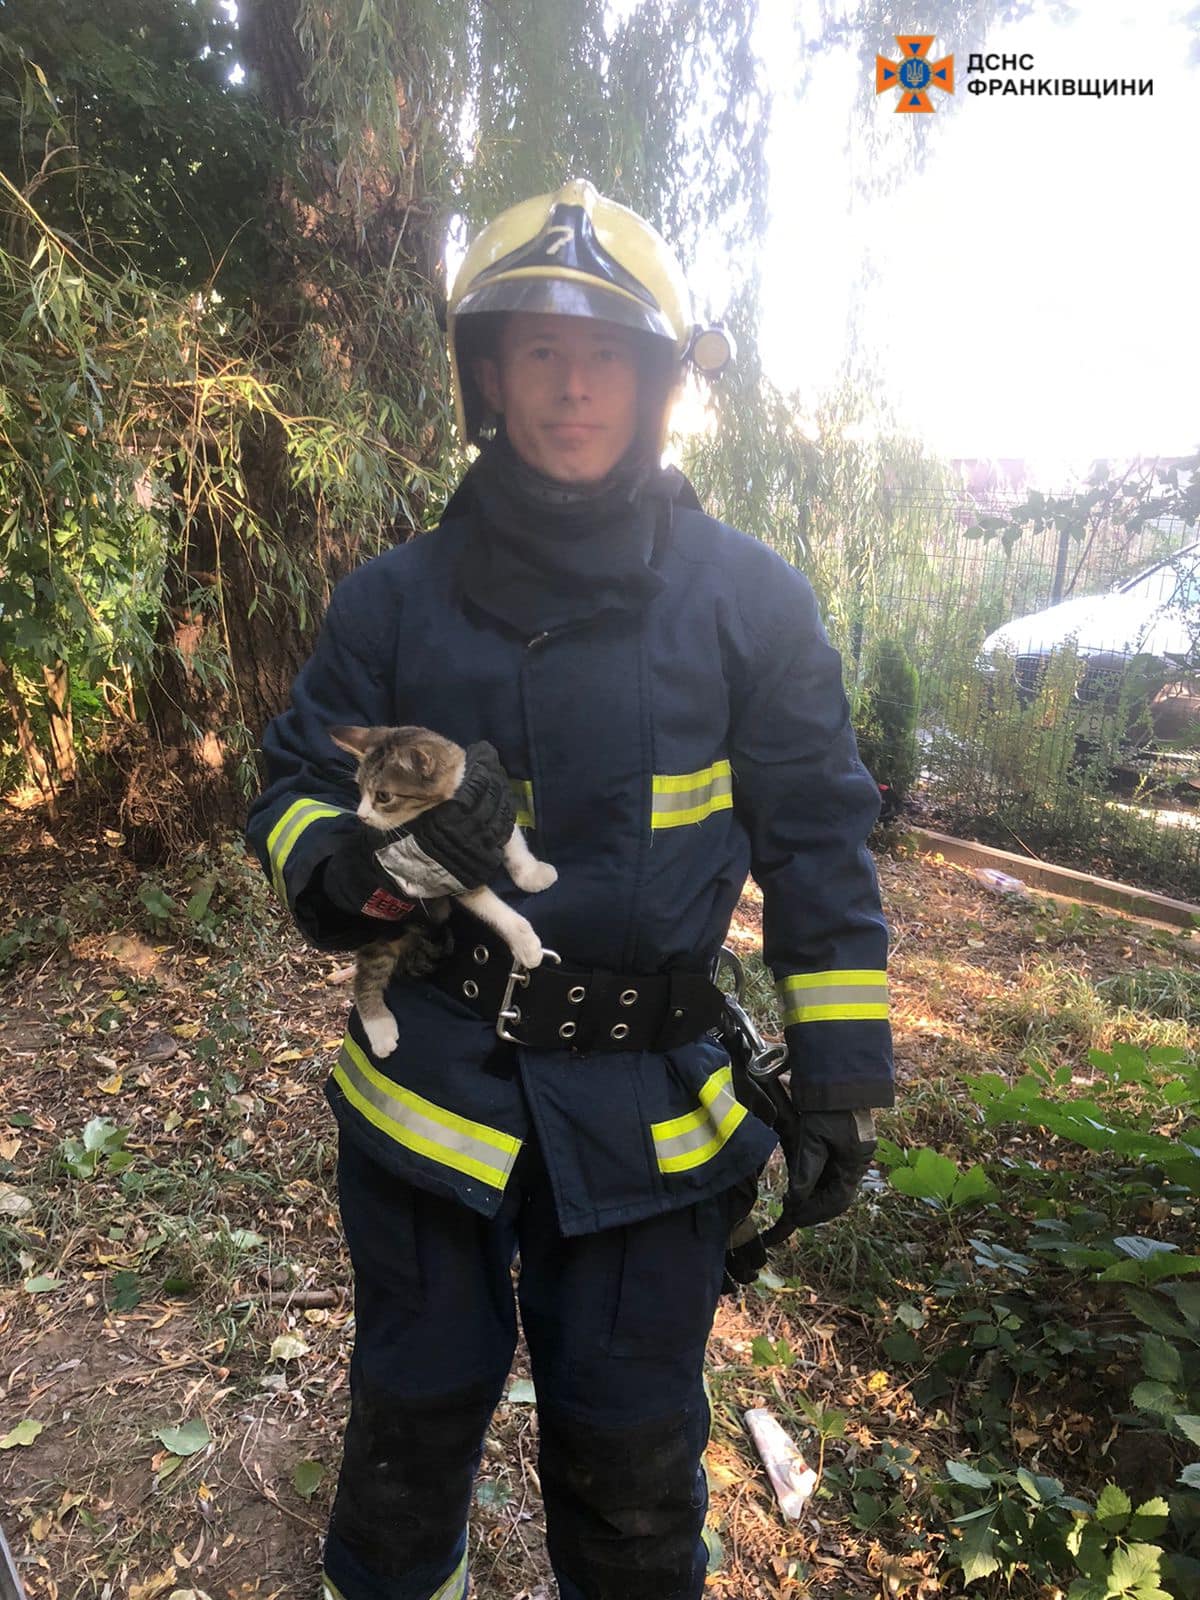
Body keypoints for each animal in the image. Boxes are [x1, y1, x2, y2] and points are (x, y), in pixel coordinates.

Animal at [326, 729, 556, 1062]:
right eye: (360, 789)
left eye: (383, 796)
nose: (362, 816)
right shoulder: (451, 868)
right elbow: (495, 910)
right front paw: (526, 943)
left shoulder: (491, 819)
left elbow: (514, 843)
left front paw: (531, 874)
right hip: (383, 928)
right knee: (369, 971)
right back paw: (379, 1029)